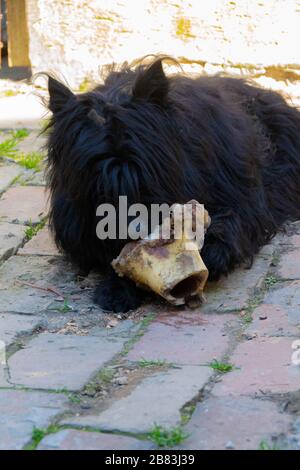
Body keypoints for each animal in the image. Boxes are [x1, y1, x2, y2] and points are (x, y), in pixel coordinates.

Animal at [45, 57, 300, 312]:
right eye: (99, 184)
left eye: (145, 175)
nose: (135, 230)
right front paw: (117, 287)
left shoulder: (242, 195)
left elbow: (233, 220)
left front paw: (212, 253)